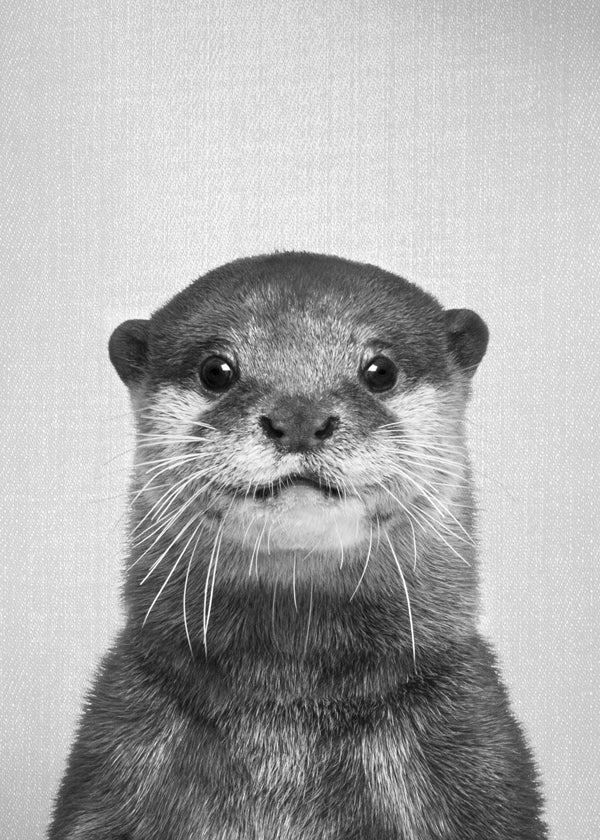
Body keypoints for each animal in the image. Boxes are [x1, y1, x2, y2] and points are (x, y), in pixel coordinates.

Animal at [49, 252, 546, 839]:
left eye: (380, 370)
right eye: (217, 370)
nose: (300, 417)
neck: (285, 718)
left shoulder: (477, 761)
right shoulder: (112, 758)